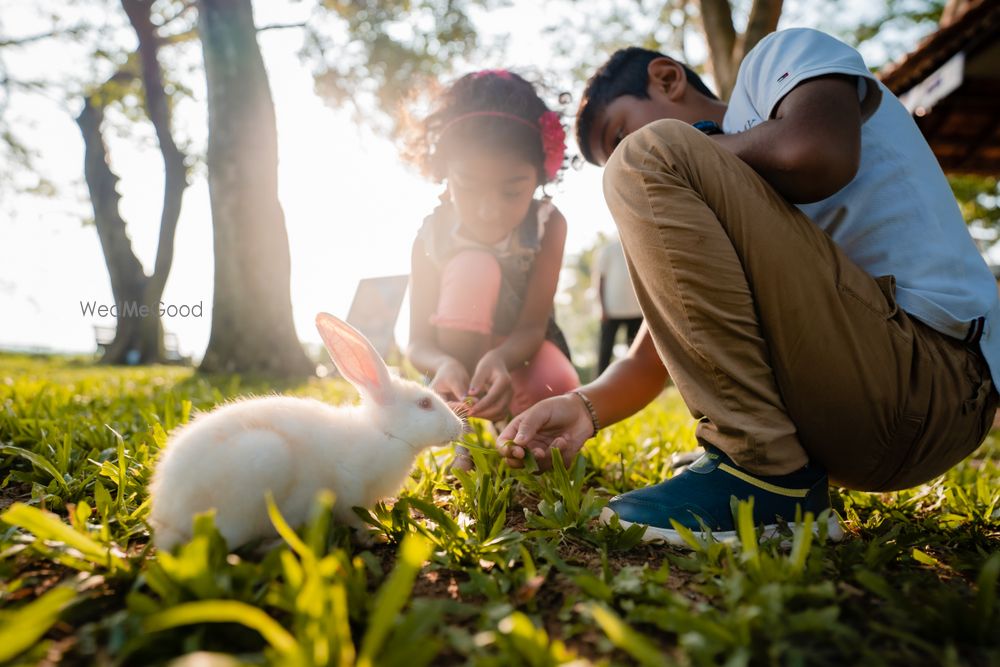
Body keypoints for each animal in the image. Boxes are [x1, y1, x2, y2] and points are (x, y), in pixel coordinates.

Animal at [147, 314, 464, 552]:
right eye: (425, 404)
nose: (459, 427)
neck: (385, 432)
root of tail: (168, 517)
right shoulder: (350, 486)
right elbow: (354, 516)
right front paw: (371, 536)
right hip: (263, 460)